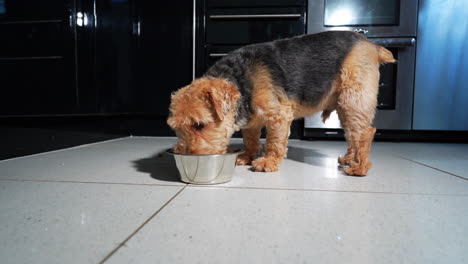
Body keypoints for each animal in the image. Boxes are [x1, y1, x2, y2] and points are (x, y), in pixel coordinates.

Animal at [167, 30, 394, 175]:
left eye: (199, 125)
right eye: (176, 128)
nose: (187, 154)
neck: (239, 80)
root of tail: (373, 45)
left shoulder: (278, 115)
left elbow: (275, 142)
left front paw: (268, 162)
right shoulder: (252, 121)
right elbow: (251, 140)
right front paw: (246, 156)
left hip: (354, 98)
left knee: (365, 133)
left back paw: (359, 167)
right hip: (344, 105)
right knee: (352, 134)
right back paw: (349, 159)